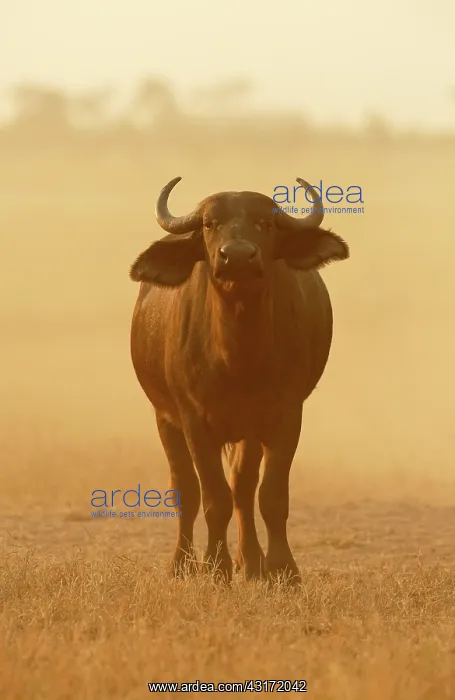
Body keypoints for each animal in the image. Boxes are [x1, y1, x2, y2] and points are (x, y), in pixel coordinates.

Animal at [130, 176, 349, 583]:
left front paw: (283, 571)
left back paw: (251, 562)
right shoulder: (194, 420)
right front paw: (216, 569)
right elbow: (212, 498)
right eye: (208, 224)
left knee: (243, 489)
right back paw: (182, 564)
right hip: (164, 418)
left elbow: (271, 496)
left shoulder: (285, 416)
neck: (237, 356)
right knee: (186, 489)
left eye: (266, 223)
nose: (237, 257)